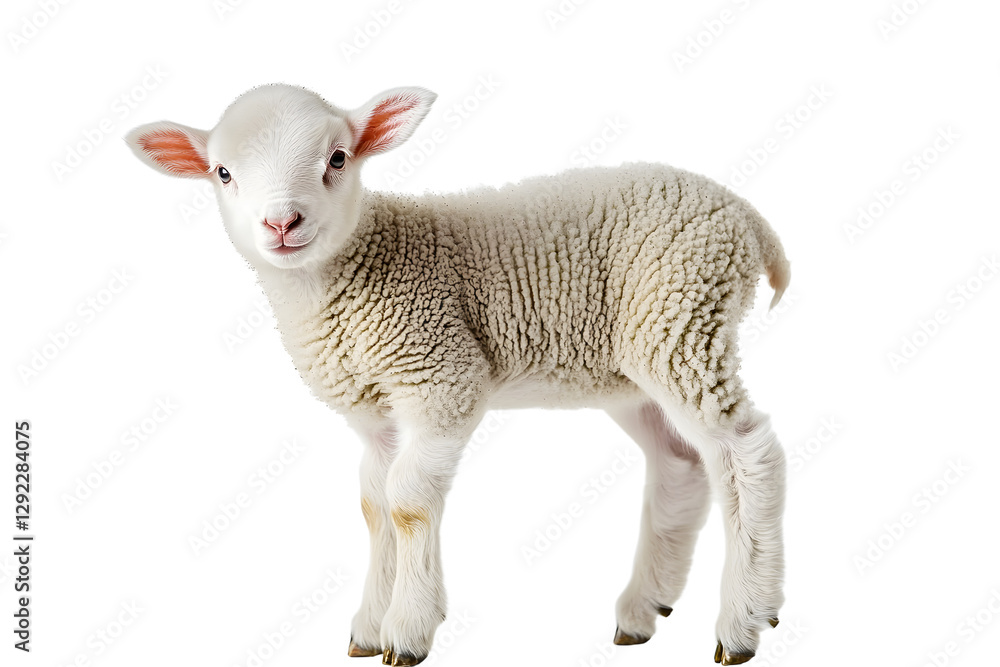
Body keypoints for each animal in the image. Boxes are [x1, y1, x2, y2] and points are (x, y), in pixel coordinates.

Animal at [126, 83, 790, 666]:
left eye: (337, 157)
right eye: (222, 173)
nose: (282, 223)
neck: (354, 269)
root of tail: (746, 216)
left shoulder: (442, 376)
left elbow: (407, 502)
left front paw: (408, 629)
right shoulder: (374, 413)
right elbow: (373, 504)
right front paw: (369, 626)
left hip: (682, 316)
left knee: (748, 451)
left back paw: (743, 621)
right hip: (635, 365)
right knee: (680, 464)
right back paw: (644, 609)